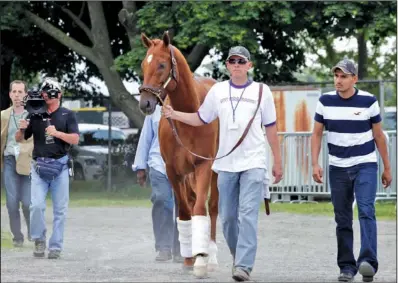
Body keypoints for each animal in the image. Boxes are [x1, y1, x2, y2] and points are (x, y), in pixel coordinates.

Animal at [139, 31, 221, 280]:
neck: (189, 116)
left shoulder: (203, 166)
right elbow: (185, 212)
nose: (145, 103)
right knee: (192, 202)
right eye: (143, 64)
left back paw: (210, 256)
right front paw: (188, 259)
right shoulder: (173, 171)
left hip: (215, 172)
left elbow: (201, 209)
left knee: (213, 207)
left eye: (162, 64)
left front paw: (202, 262)